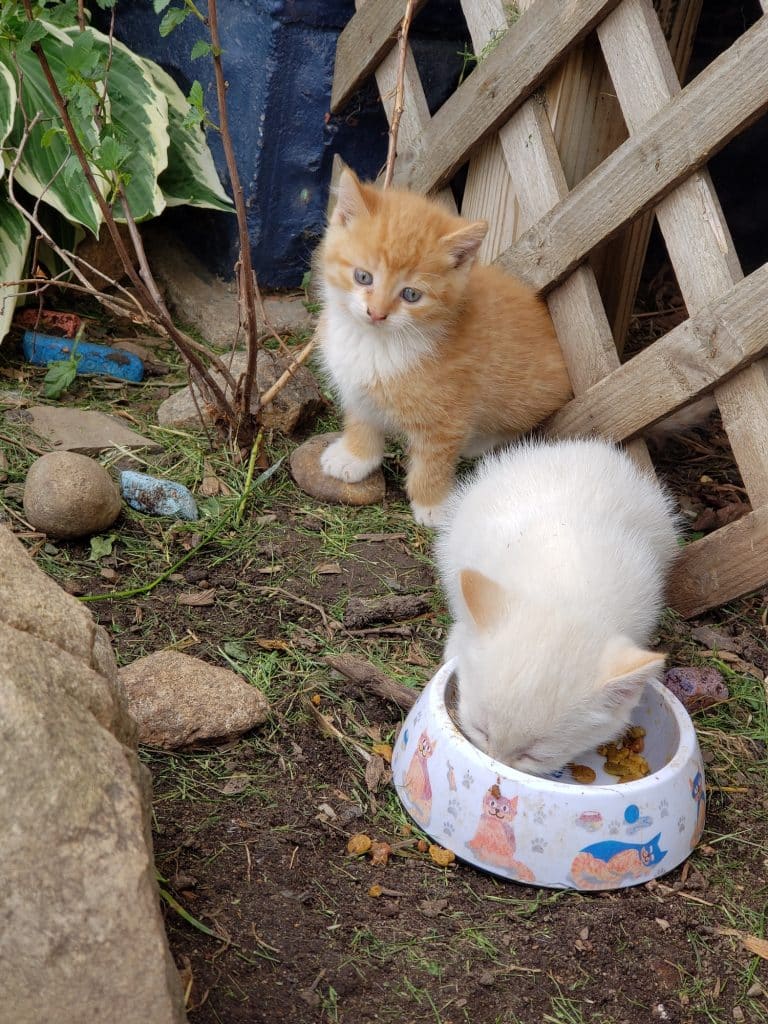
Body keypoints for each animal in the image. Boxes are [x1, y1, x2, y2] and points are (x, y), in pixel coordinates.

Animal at [314, 166, 572, 526]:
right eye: (363, 277)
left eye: (411, 294)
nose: (376, 313)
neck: (375, 343)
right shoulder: (355, 385)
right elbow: (362, 418)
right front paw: (355, 456)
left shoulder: (449, 414)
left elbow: (434, 460)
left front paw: (433, 504)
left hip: (529, 391)